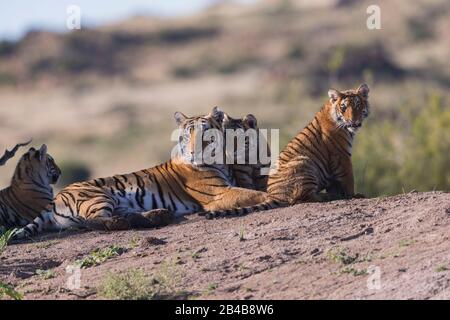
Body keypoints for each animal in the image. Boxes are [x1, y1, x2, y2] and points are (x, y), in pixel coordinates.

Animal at [14, 107, 268, 238]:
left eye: (207, 133)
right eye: (188, 134)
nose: (195, 151)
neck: (221, 161)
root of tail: (56, 197)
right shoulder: (218, 194)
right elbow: (253, 194)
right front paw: (271, 197)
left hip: (119, 202)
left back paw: (156, 215)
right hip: (97, 196)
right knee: (93, 222)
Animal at [203, 84, 370, 219]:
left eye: (357, 105)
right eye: (343, 107)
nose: (354, 121)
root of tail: (274, 195)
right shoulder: (341, 156)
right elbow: (349, 180)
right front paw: (355, 195)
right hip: (304, 161)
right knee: (299, 199)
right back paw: (327, 196)